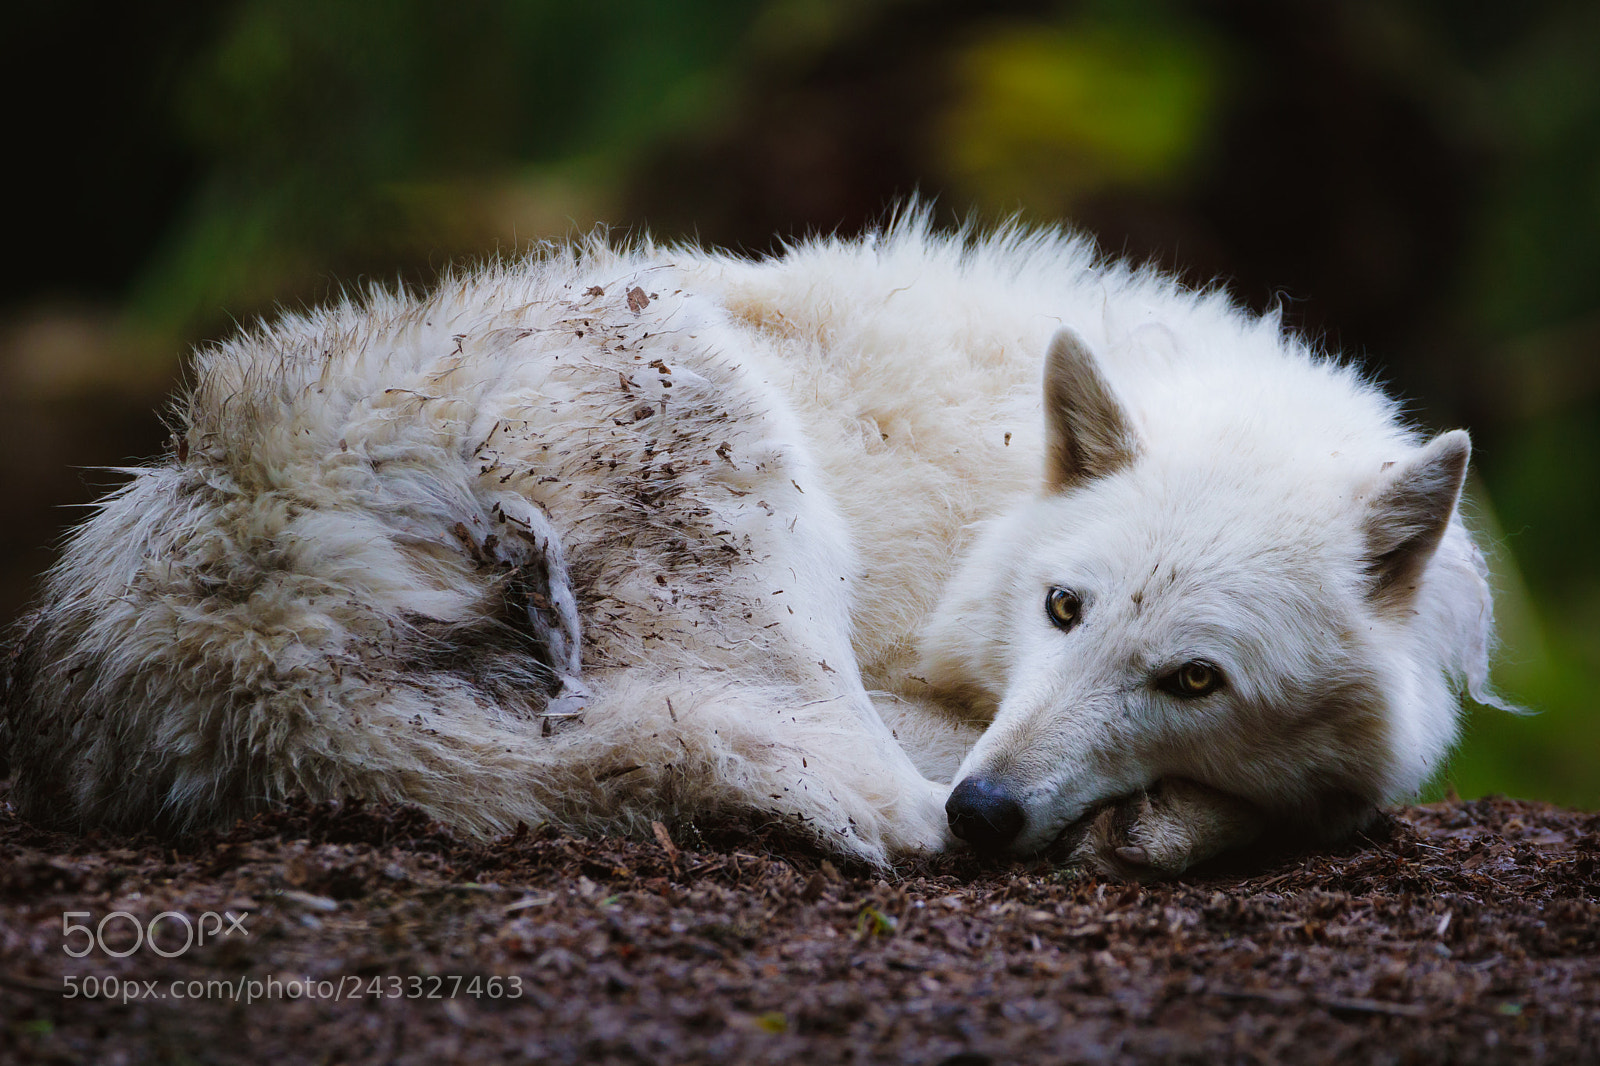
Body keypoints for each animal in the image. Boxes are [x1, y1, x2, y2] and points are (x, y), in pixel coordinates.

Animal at [0, 215, 1501, 877]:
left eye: (1194, 677)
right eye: (1064, 608)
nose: (995, 810)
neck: (990, 466)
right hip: (725, 450)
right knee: (863, 798)